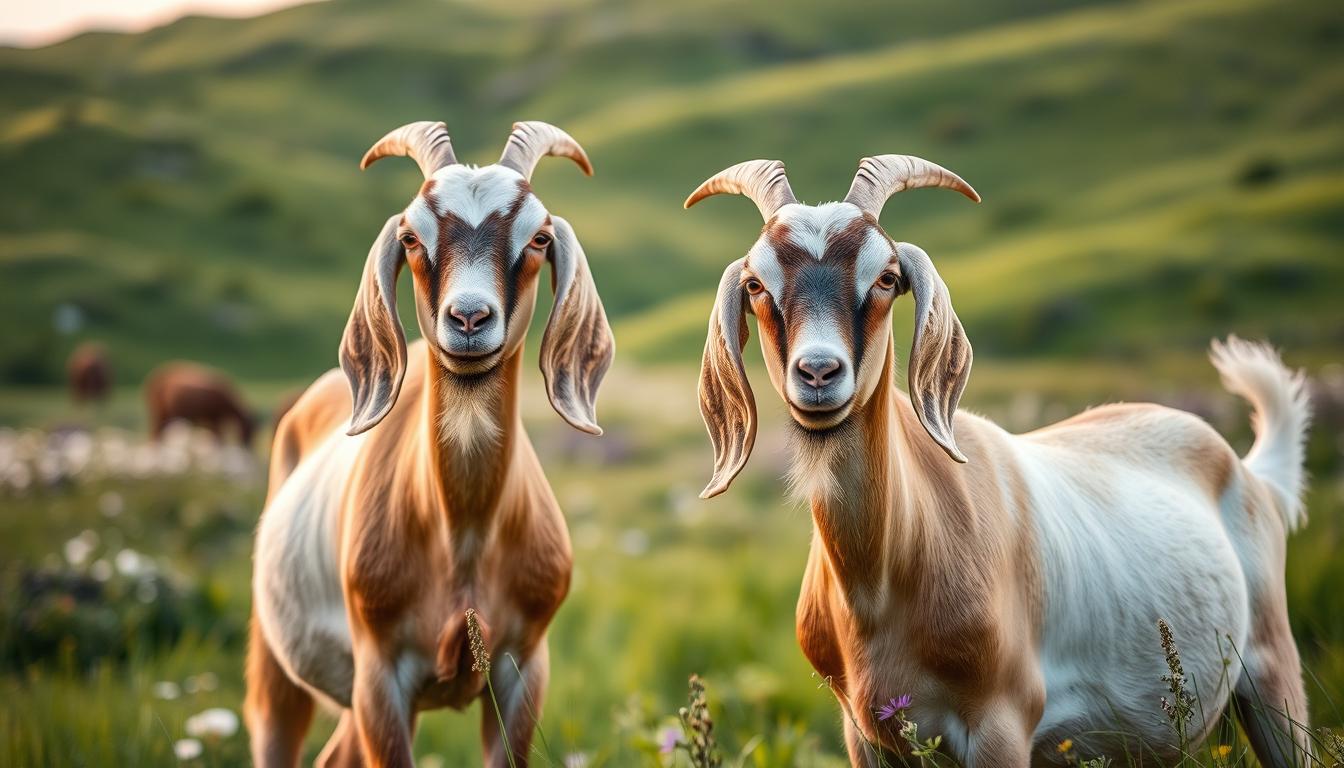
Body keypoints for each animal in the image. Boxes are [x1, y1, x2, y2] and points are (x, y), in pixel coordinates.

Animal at [246, 120, 613, 768]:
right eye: (412, 238)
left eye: (539, 237)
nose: (468, 318)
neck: (462, 537)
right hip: (276, 666)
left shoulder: (524, 671)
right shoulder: (380, 677)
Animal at [686, 157, 1313, 767]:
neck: (881, 588)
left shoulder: (1002, 723)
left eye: (886, 277)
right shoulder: (864, 735)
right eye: (756, 283)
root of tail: (1252, 474)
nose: (818, 372)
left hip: (1273, 678)